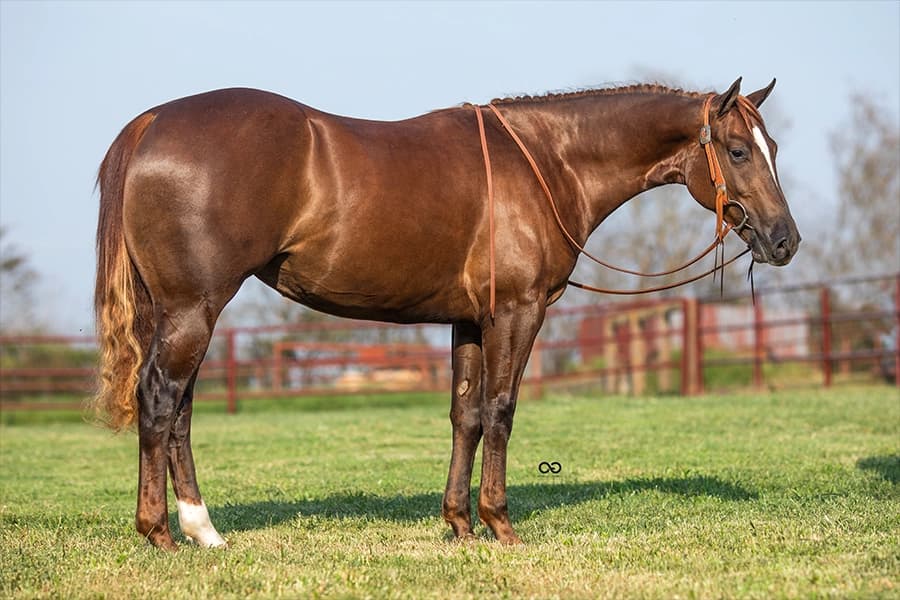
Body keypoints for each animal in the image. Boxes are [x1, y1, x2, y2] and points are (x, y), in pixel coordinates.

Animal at [93, 77, 800, 550]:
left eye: (772, 147)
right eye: (738, 150)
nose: (784, 241)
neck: (546, 162)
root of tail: (152, 122)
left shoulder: (469, 321)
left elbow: (466, 417)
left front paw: (459, 524)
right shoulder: (516, 313)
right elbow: (501, 411)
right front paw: (500, 524)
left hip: (177, 311)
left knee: (179, 410)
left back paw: (203, 530)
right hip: (194, 308)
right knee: (161, 399)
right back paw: (159, 531)